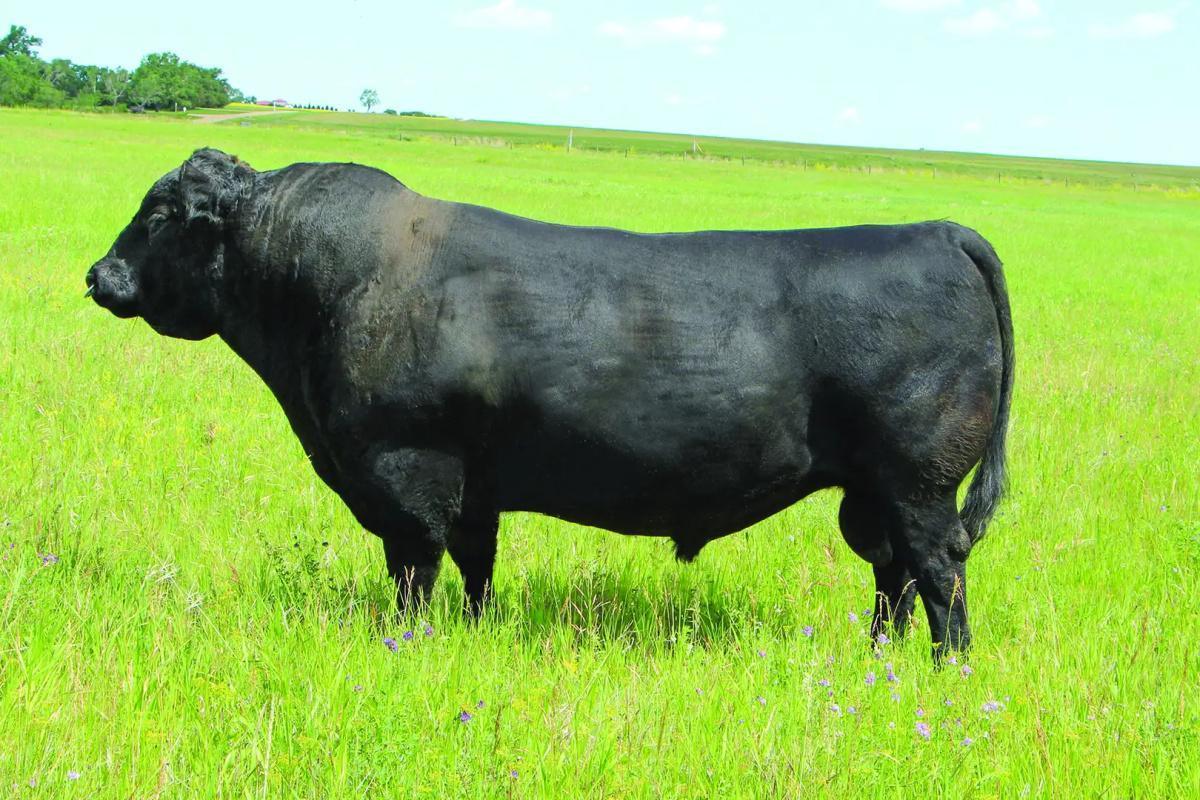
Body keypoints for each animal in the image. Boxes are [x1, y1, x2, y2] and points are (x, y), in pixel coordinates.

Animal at [86, 148, 1013, 657]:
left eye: (160, 213)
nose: (100, 276)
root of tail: (938, 230)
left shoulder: (406, 467)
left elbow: (414, 568)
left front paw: (407, 644)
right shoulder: (475, 481)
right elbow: (475, 566)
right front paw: (473, 635)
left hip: (920, 480)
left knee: (939, 569)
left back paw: (948, 671)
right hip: (874, 491)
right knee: (893, 574)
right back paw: (880, 658)